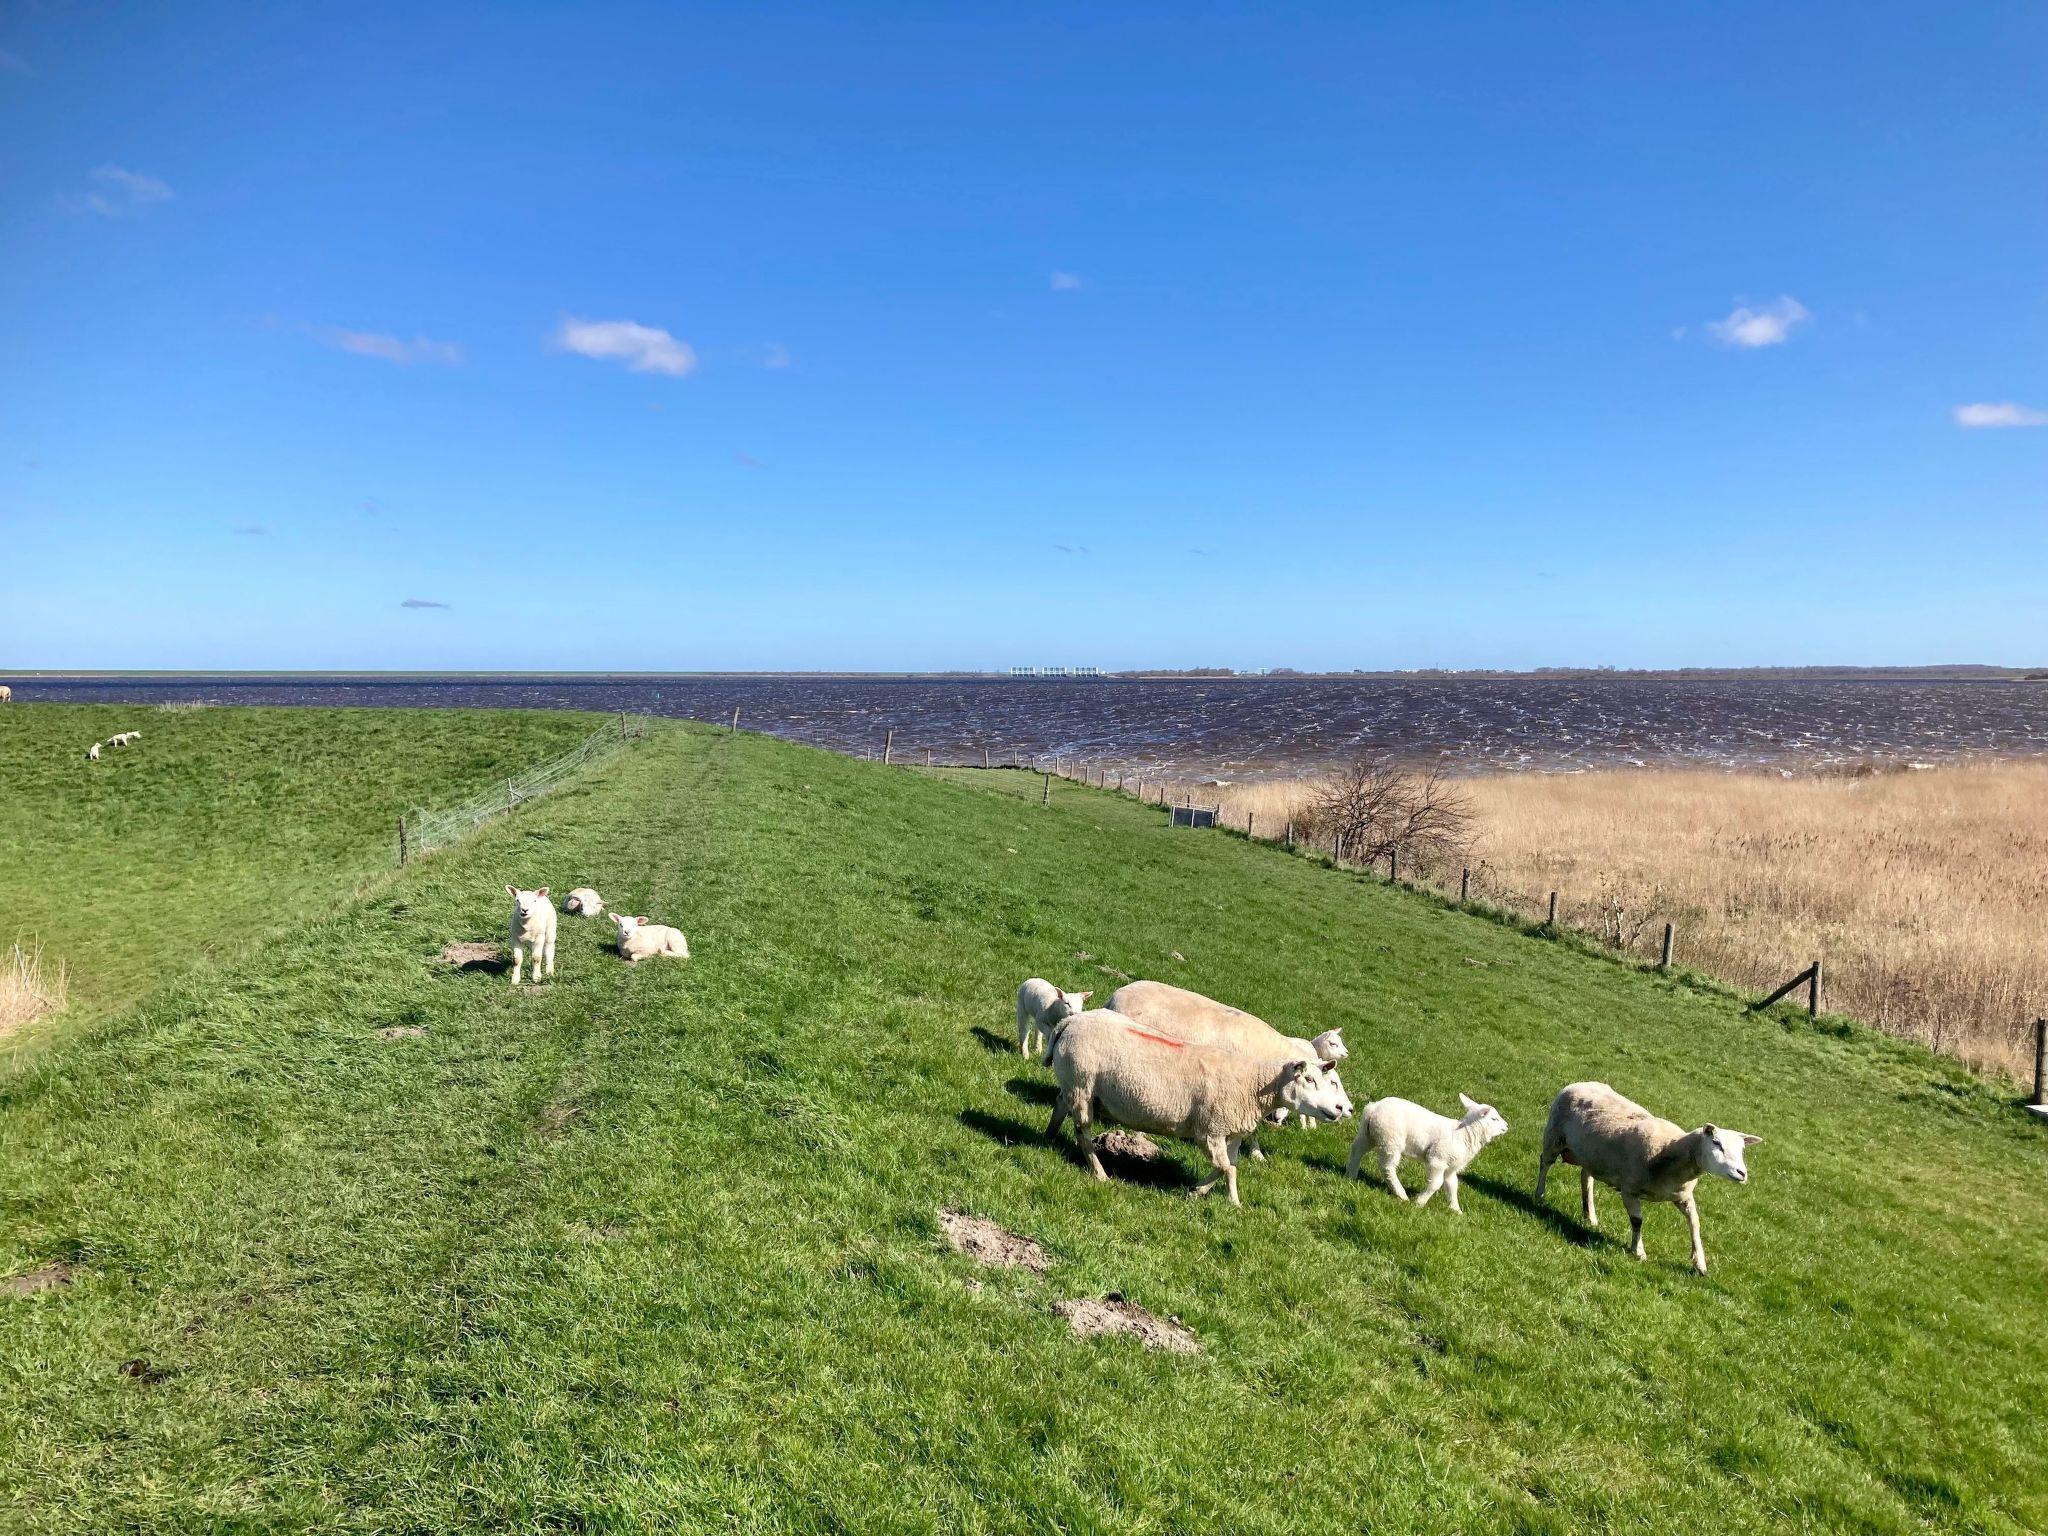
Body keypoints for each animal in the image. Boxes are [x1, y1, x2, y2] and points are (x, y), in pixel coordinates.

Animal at [1044, 1008, 1350, 1206]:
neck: (1252, 1086)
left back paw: (1048, 1139)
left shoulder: (1232, 1131)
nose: (1339, 1110)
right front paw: (1216, 1198)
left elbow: (1230, 1167)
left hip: (1073, 1085)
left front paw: (1214, 1196)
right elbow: (1225, 1168)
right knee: (1083, 1134)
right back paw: (1100, 1173)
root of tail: (1069, 1022)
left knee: (1059, 1105)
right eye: (1309, 1079)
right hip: (1082, 1087)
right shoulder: (1210, 1131)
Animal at [1345, 1093, 1510, 1212]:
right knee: (1387, 1167)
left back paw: (1351, 1175)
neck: (1465, 1135)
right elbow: (1436, 1183)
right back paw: (1401, 1194)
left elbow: (1452, 1185)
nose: (1507, 1126)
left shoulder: (1450, 1167)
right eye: (1494, 1119)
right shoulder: (1438, 1159)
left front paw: (1456, 1210)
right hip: (1390, 1139)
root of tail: (1374, 1108)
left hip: (1368, 1133)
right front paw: (1420, 1202)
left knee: (1356, 1150)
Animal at [1535, 1081, 1761, 1274]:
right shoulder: (1629, 1189)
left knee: (1586, 1178)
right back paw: (1539, 1195)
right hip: (1553, 1137)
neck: (1670, 1151)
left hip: (1592, 1155)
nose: (1742, 1173)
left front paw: (1700, 1264)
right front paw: (1638, 1251)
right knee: (1545, 1163)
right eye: (1716, 1143)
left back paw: (1590, 1216)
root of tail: (1580, 1083)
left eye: (1742, 1149)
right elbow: (1637, 1221)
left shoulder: (1684, 1196)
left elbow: (1695, 1224)